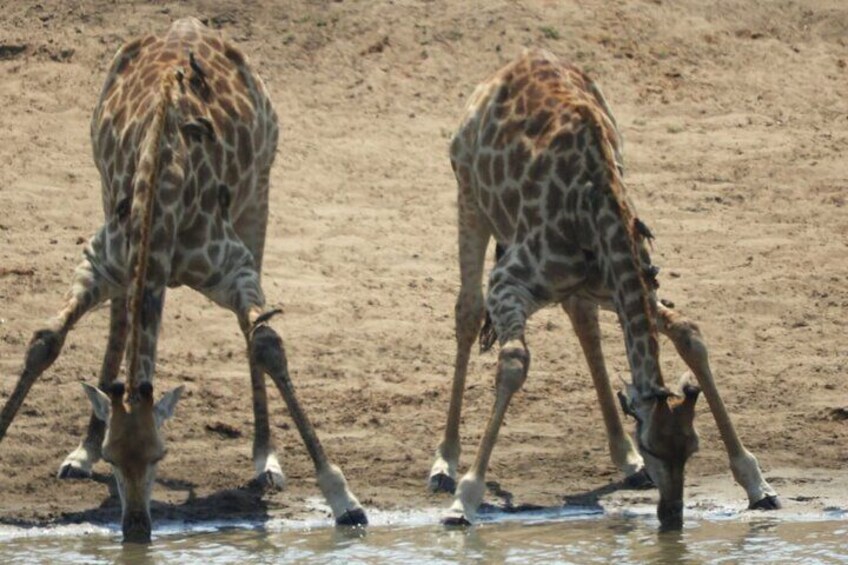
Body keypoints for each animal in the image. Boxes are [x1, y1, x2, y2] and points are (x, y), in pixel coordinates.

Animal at [0, 18, 366, 542]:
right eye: (114, 457)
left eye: (161, 454)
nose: (136, 529)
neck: (164, 186)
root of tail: (186, 24)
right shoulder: (100, 260)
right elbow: (46, 340)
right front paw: (88, 446)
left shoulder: (232, 266)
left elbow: (267, 342)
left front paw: (343, 499)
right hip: (105, 189)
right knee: (121, 315)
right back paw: (79, 451)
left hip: (259, 195)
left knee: (249, 326)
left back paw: (266, 459)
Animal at [427, 49, 780, 530]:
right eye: (653, 446)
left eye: (692, 447)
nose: (672, 515)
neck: (595, 204)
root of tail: (517, 60)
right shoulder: (509, 283)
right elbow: (515, 362)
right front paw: (465, 499)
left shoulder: (625, 281)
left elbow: (689, 333)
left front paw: (756, 483)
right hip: (469, 197)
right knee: (466, 311)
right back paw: (444, 463)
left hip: (586, 288)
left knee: (583, 323)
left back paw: (625, 460)